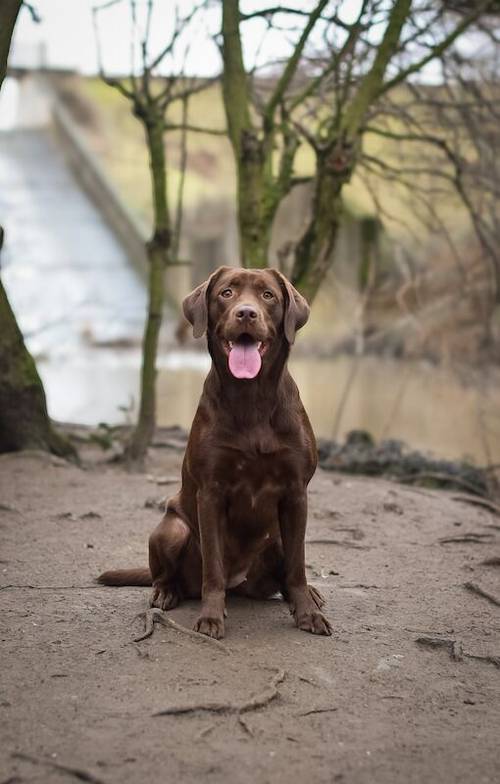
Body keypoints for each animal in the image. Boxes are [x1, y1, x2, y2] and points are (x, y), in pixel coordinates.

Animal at [97, 266, 332, 640]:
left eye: (268, 295)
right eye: (227, 293)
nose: (246, 313)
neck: (252, 397)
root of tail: (242, 583)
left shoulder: (297, 493)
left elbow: (297, 566)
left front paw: (307, 613)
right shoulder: (210, 492)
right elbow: (214, 566)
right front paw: (210, 617)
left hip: (278, 538)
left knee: (285, 572)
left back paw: (308, 594)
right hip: (172, 528)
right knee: (169, 574)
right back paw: (165, 592)